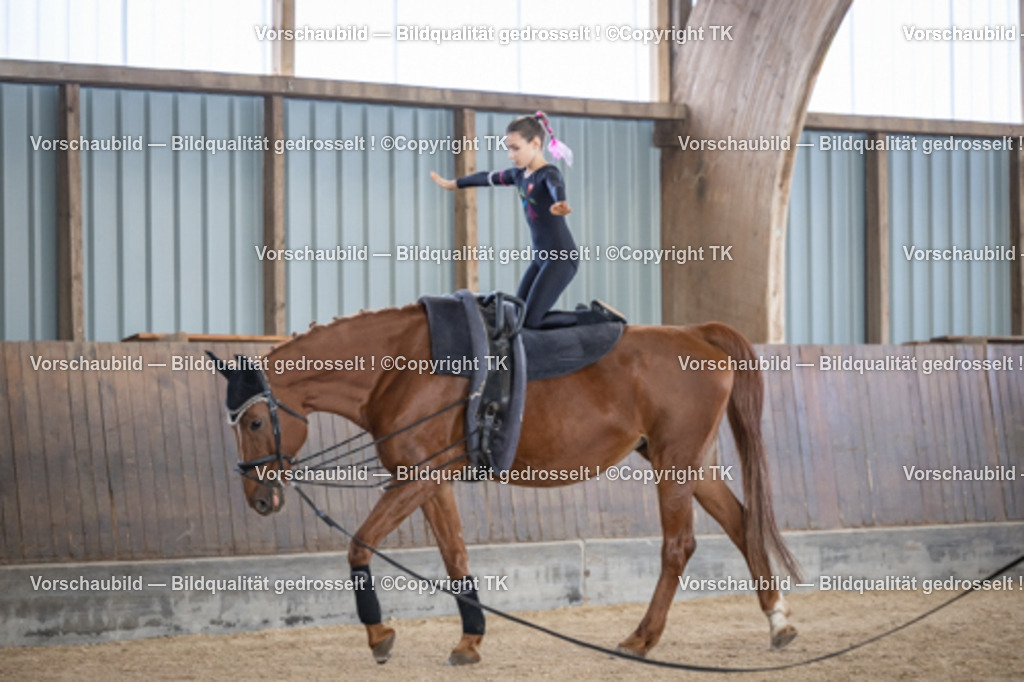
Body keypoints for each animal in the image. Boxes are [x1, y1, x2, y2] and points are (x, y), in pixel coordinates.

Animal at [210, 301, 801, 665]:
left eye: (256, 422)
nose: (259, 498)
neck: (402, 368)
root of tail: (695, 334)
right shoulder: (429, 481)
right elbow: (455, 555)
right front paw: (470, 641)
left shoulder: (419, 478)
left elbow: (360, 544)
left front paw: (380, 636)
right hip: (689, 463)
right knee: (743, 523)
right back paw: (777, 622)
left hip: (676, 464)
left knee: (679, 545)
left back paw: (640, 639)